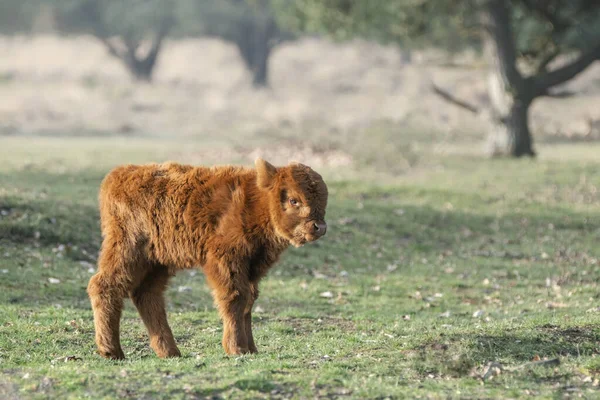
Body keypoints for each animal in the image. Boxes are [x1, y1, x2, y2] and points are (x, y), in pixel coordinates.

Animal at [88, 157, 328, 360]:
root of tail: (119, 174)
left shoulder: (252, 268)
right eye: (294, 200)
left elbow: (249, 301)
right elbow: (234, 298)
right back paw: (112, 351)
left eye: (323, 201)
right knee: (104, 285)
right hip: (128, 251)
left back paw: (170, 352)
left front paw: (251, 348)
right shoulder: (227, 260)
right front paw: (236, 348)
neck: (254, 200)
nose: (319, 227)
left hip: (157, 262)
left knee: (147, 295)